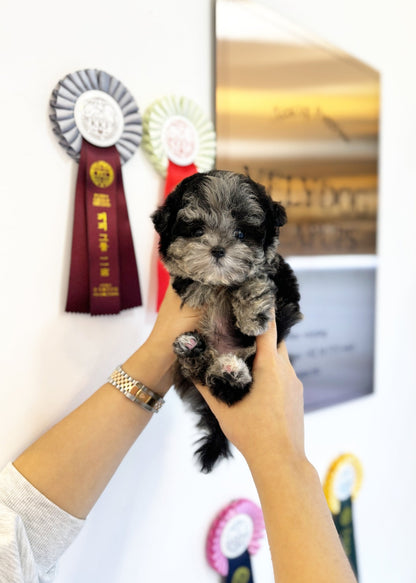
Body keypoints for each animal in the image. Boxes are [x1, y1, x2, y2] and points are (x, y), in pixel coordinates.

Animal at [151, 171, 300, 472]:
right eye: (197, 231)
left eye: (241, 234)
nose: (219, 250)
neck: (220, 283)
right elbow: (190, 280)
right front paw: (200, 287)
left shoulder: (286, 291)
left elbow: (256, 279)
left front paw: (252, 311)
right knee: (199, 371)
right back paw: (196, 352)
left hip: (250, 359)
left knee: (231, 388)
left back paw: (230, 375)